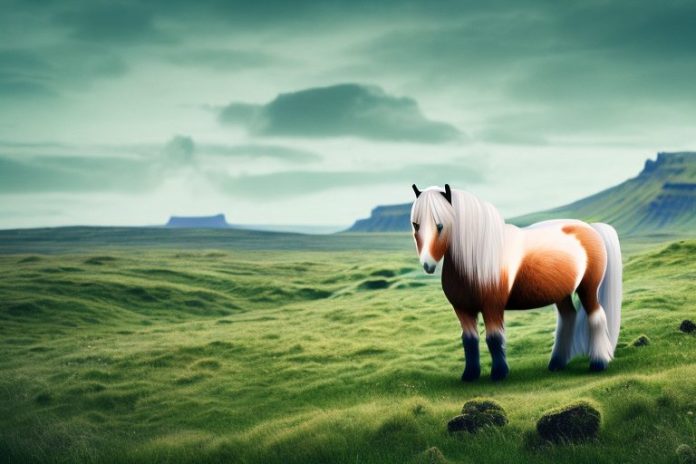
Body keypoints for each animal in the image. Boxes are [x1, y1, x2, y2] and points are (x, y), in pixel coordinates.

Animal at [410, 184, 622, 381]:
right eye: (416, 225)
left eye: (440, 226)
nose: (428, 264)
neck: (474, 260)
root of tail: (592, 228)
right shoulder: (462, 310)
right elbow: (469, 341)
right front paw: (470, 375)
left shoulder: (492, 307)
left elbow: (494, 338)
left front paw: (499, 374)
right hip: (561, 293)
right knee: (568, 317)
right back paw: (557, 364)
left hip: (588, 289)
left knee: (596, 318)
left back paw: (598, 363)